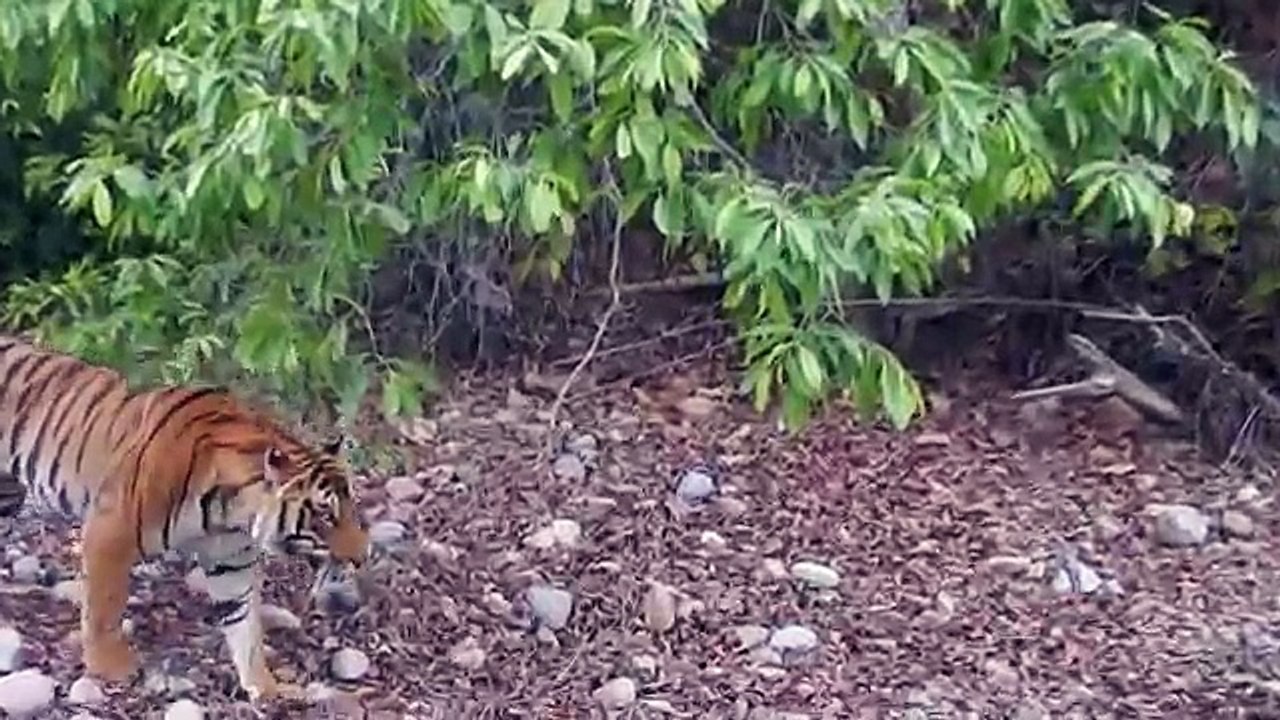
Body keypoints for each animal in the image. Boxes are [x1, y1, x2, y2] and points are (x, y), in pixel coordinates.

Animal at [0, 333, 370, 701]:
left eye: (353, 506)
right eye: (325, 516)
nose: (363, 557)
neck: (233, 513)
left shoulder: (232, 562)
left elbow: (245, 624)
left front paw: (265, 687)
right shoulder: (110, 531)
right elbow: (105, 604)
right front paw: (109, 666)